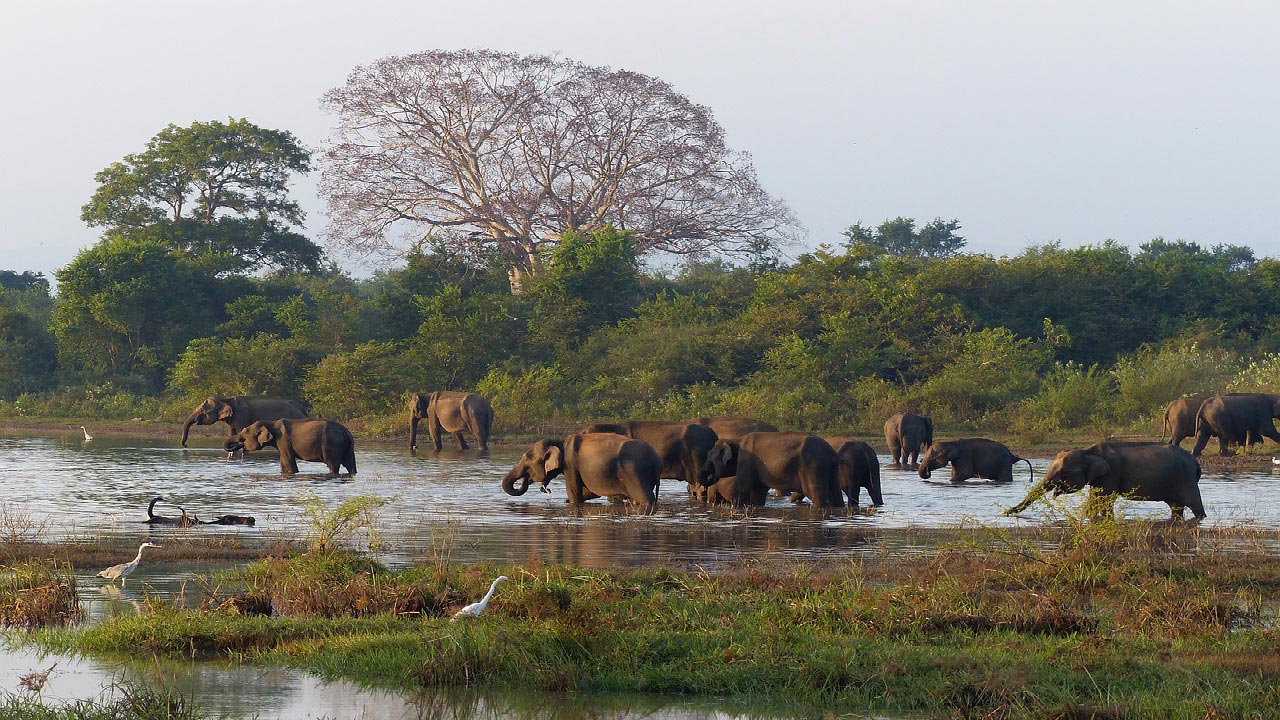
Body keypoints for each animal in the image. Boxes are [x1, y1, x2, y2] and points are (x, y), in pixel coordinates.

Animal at [224, 415, 355, 476]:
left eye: (245, 431)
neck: (271, 423)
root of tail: (346, 432)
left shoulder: (283, 440)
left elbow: (288, 460)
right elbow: (283, 462)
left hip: (332, 445)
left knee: (333, 465)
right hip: (347, 446)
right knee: (350, 464)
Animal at [499, 430, 660, 504]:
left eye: (526, 458)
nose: (546, 489)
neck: (559, 442)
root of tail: (654, 458)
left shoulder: (570, 464)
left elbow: (575, 492)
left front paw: (570, 501)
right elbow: (589, 491)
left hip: (634, 472)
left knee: (645, 498)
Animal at [696, 427, 844, 507]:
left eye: (710, 458)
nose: (712, 475)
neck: (736, 440)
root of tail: (831, 452)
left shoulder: (746, 460)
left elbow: (741, 488)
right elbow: (758, 492)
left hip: (813, 467)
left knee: (815, 494)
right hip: (830, 469)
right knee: (835, 493)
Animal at [1003, 440, 1203, 517]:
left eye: (1065, 473)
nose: (1005, 513)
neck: (1088, 451)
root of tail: (1195, 462)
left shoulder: (1111, 473)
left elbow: (1105, 500)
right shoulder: (1099, 478)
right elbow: (1094, 499)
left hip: (1186, 480)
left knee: (1195, 505)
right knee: (1176, 507)